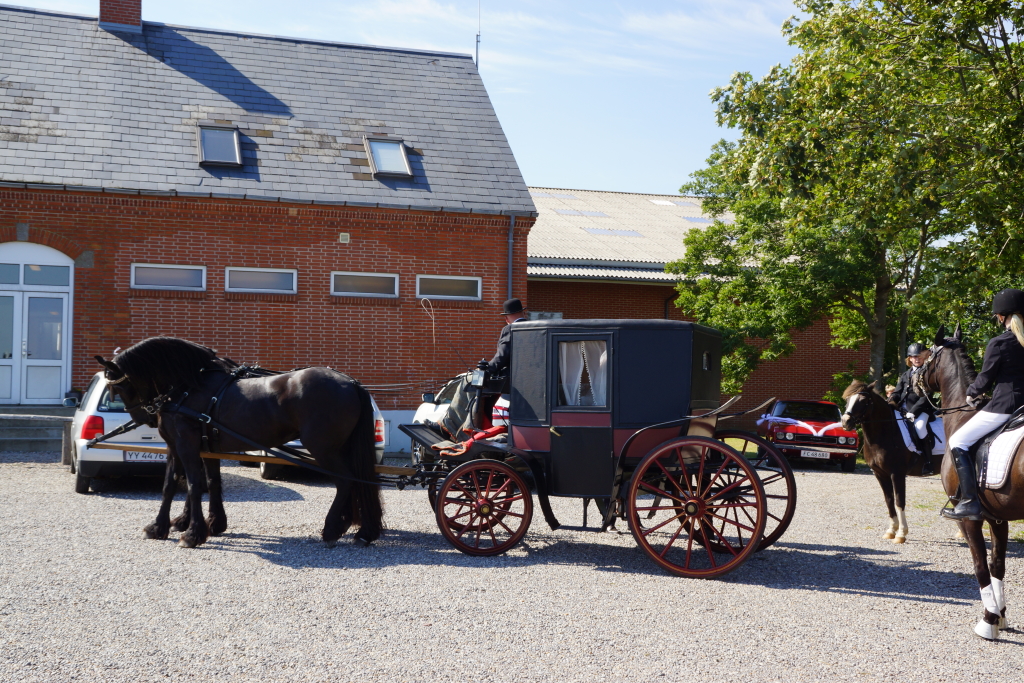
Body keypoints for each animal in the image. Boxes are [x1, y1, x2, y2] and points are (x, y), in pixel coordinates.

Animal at [95, 337, 385, 548]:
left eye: (117, 388)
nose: (144, 417)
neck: (187, 388)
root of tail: (350, 382)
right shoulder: (190, 446)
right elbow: (182, 485)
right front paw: (170, 526)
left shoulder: (186, 444)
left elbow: (193, 485)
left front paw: (192, 533)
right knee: (357, 481)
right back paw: (359, 529)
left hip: (323, 450)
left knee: (345, 482)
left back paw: (332, 528)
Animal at [839, 382, 942, 540]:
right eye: (848, 400)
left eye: (863, 401)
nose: (845, 422)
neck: (885, 432)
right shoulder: (880, 474)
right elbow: (889, 501)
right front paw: (891, 530)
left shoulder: (897, 473)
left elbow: (899, 501)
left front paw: (901, 533)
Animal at [917, 323, 1019, 638]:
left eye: (924, 358)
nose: (910, 381)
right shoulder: (998, 517)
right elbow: (997, 565)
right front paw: (1000, 616)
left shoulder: (968, 518)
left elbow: (980, 566)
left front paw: (988, 621)